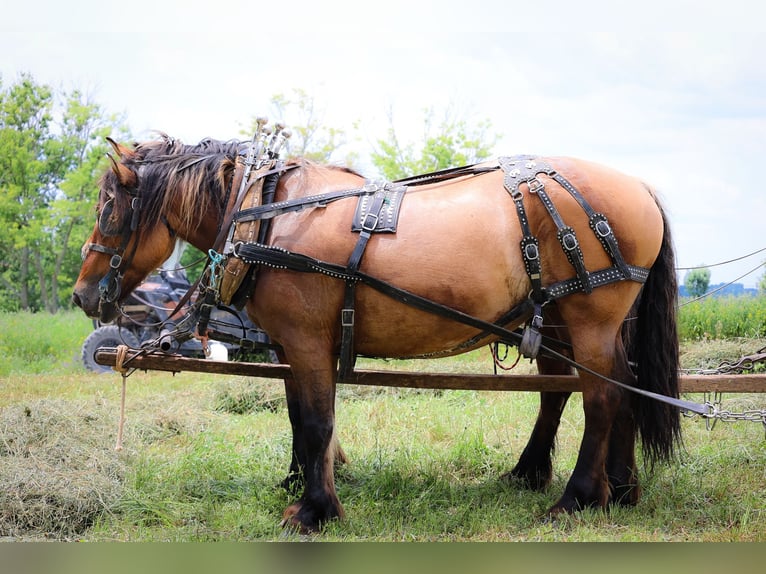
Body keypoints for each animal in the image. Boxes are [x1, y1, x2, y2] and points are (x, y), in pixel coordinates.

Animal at [72, 133, 682, 533]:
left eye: (109, 209)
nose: (82, 294)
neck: (266, 212)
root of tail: (642, 187)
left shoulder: (307, 341)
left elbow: (316, 424)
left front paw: (314, 511)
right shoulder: (292, 346)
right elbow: (300, 420)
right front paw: (300, 487)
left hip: (589, 317)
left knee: (601, 396)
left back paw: (578, 498)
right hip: (569, 320)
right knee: (604, 388)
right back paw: (616, 487)